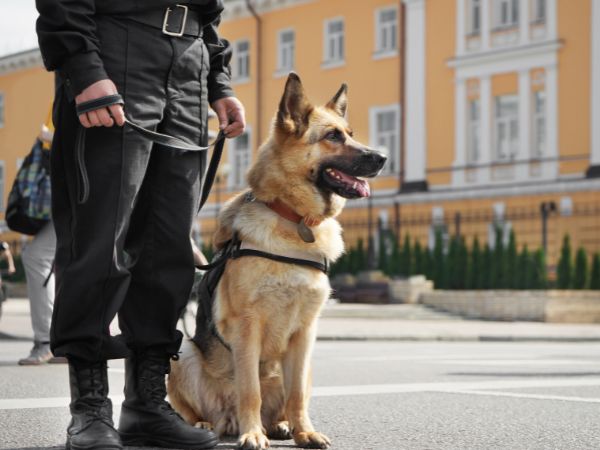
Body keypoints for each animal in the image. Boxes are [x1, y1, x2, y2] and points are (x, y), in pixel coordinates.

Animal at [166, 72, 386, 448]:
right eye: (332, 136)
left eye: (351, 133)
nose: (383, 157)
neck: (294, 220)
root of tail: (225, 419)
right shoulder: (247, 327)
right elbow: (249, 389)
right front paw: (252, 434)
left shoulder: (305, 334)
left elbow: (296, 395)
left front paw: (304, 432)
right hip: (183, 354)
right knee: (197, 409)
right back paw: (206, 425)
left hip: (307, 365)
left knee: (286, 400)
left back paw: (281, 425)